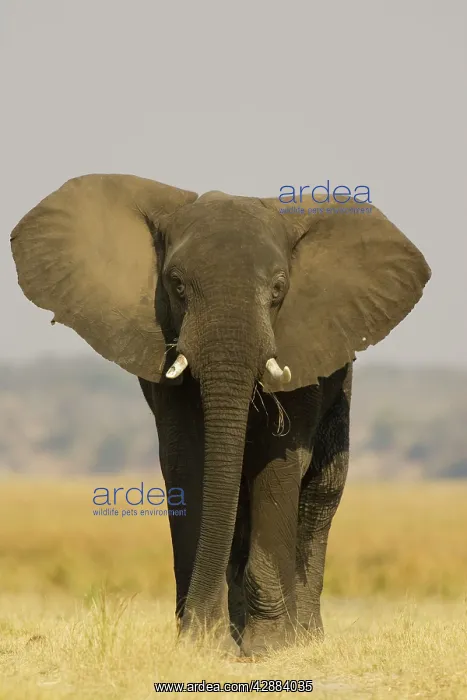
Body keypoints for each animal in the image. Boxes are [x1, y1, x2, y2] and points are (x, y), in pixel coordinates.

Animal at [10, 174, 431, 657]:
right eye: (175, 284)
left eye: (279, 289)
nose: (200, 629)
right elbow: (188, 462)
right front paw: (204, 644)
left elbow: (279, 462)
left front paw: (270, 647)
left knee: (321, 493)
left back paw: (304, 637)